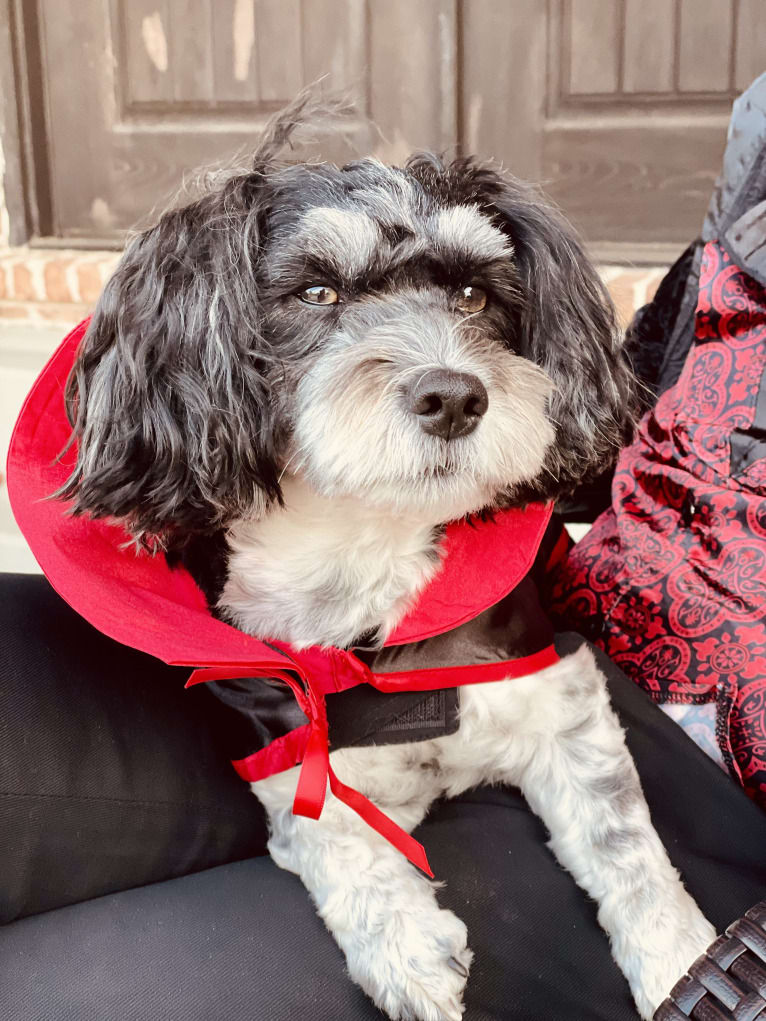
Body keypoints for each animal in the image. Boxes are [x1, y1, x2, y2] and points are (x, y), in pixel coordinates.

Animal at [60, 97, 714, 1021]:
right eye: (315, 291)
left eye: (473, 292)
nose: (454, 395)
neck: (365, 544)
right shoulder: (287, 744)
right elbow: (329, 826)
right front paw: (404, 942)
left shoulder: (561, 696)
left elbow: (625, 842)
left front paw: (686, 959)